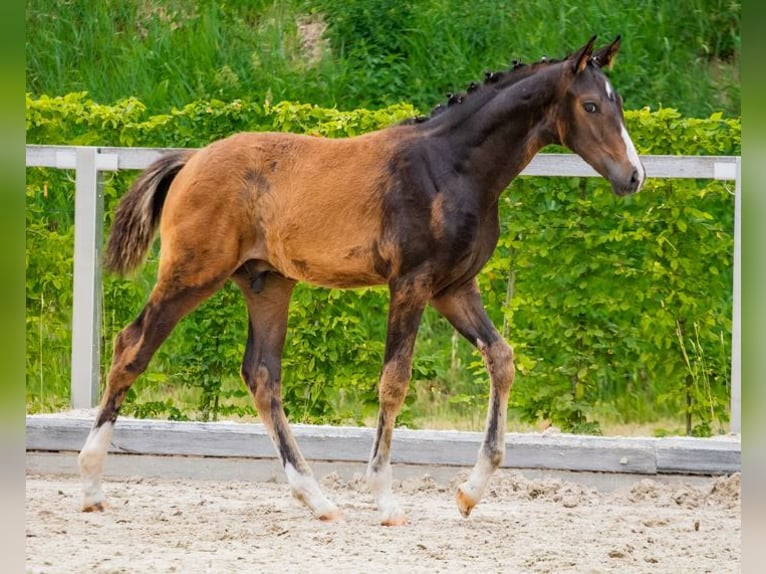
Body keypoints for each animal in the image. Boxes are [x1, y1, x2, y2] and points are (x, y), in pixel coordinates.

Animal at [78, 35, 644, 525]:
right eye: (591, 106)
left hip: (267, 285)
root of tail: (192, 160)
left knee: (262, 377)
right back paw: (90, 484)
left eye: (617, 103)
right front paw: (386, 499)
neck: (451, 167)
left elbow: (501, 359)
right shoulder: (412, 284)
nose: (634, 176)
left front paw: (469, 492)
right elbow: (394, 382)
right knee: (132, 347)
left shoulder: (454, 288)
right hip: (191, 274)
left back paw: (318, 499)